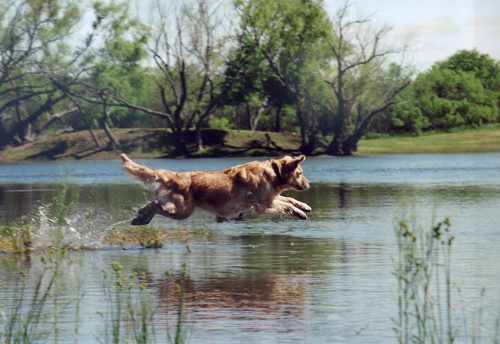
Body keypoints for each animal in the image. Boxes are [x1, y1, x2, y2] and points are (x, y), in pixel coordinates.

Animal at [119, 154, 310, 226]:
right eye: (300, 173)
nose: (308, 184)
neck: (274, 173)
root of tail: (174, 175)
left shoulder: (270, 198)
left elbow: (289, 200)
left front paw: (304, 207)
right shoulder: (263, 205)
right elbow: (287, 205)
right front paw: (299, 213)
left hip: (178, 208)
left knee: (153, 204)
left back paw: (140, 218)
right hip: (182, 210)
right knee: (156, 205)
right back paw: (141, 217)